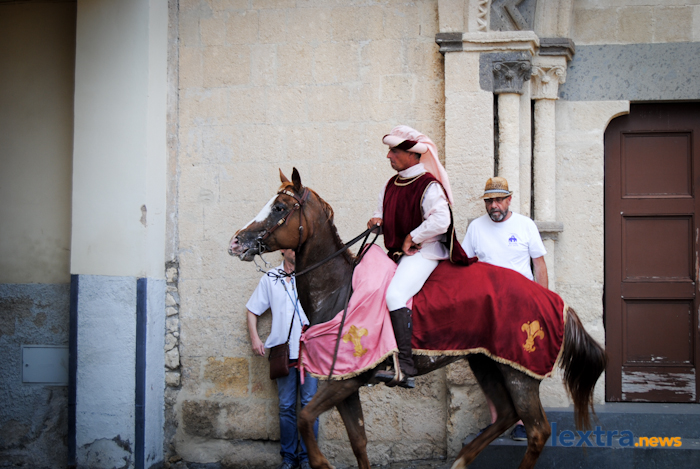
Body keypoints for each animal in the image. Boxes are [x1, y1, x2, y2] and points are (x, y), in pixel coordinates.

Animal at [228, 168, 606, 469]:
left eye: (279, 207)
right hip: (486, 362)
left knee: (538, 431)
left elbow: (306, 420)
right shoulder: (346, 382)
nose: (236, 242)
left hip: (519, 373)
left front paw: (321, 463)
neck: (339, 289)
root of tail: (553, 300)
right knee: (505, 414)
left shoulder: (344, 381)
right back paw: (460, 461)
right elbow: (358, 441)